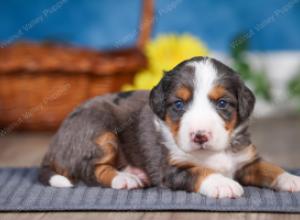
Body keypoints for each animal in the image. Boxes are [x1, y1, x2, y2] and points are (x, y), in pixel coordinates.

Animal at [39, 56, 300, 198]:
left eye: (222, 103)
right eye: (179, 104)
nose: (200, 136)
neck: (212, 153)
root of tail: (54, 145)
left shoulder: (246, 160)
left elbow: (271, 168)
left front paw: (292, 179)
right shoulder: (170, 167)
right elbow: (200, 171)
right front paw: (223, 183)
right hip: (99, 128)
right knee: (90, 169)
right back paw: (125, 179)